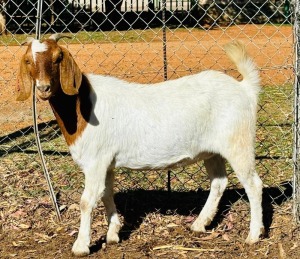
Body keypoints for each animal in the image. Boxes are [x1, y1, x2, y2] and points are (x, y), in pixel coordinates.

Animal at [17, 35, 264, 258]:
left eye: (58, 57)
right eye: (28, 60)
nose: (43, 88)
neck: (82, 108)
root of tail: (245, 89)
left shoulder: (96, 161)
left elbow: (87, 201)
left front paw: (81, 246)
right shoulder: (107, 162)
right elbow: (106, 194)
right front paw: (113, 234)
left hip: (238, 142)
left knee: (253, 185)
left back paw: (253, 235)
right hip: (212, 151)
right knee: (219, 182)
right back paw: (200, 224)